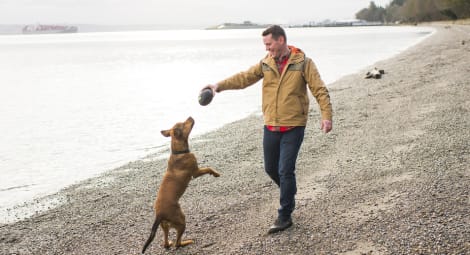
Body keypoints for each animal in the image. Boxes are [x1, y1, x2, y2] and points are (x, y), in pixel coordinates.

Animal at [141, 117, 220, 253]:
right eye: (184, 124)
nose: (190, 117)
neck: (179, 152)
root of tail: (159, 214)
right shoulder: (196, 172)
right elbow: (208, 168)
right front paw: (215, 173)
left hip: (165, 226)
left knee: (166, 242)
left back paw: (169, 243)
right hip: (181, 220)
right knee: (177, 244)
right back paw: (186, 242)